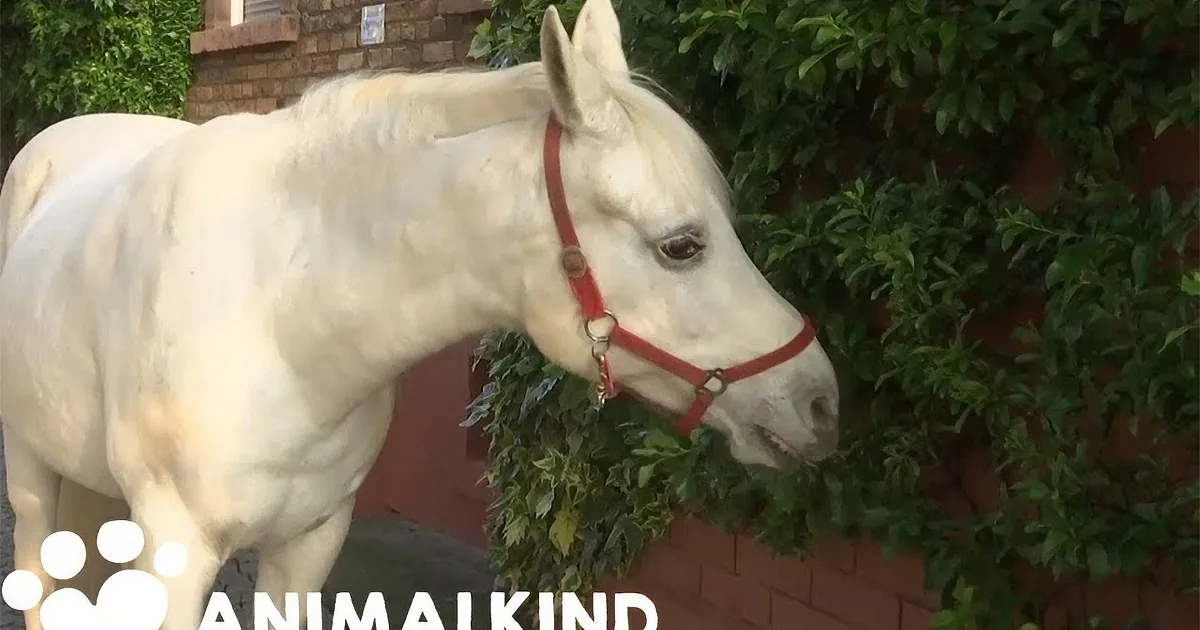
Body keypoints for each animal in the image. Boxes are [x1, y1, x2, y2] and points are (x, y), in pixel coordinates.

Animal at [0, 1, 840, 628]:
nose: (820, 403)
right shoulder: (177, 547)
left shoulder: (308, 543)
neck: (278, 315)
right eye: (681, 246)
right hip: (30, 473)